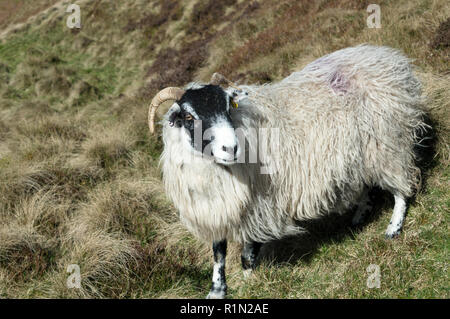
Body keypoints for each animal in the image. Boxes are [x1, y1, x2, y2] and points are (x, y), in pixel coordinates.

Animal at [149, 45, 428, 300]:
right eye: (188, 116)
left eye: (228, 107)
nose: (231, 148)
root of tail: (385, 55)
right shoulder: (216, 207)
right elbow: (218, 253)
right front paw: (217, 291)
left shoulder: (261, 205)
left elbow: (248, 252)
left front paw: (250, 282)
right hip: (361, 152)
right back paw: (360, 214)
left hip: (388, 141)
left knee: (402, 187)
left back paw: (394, 227)